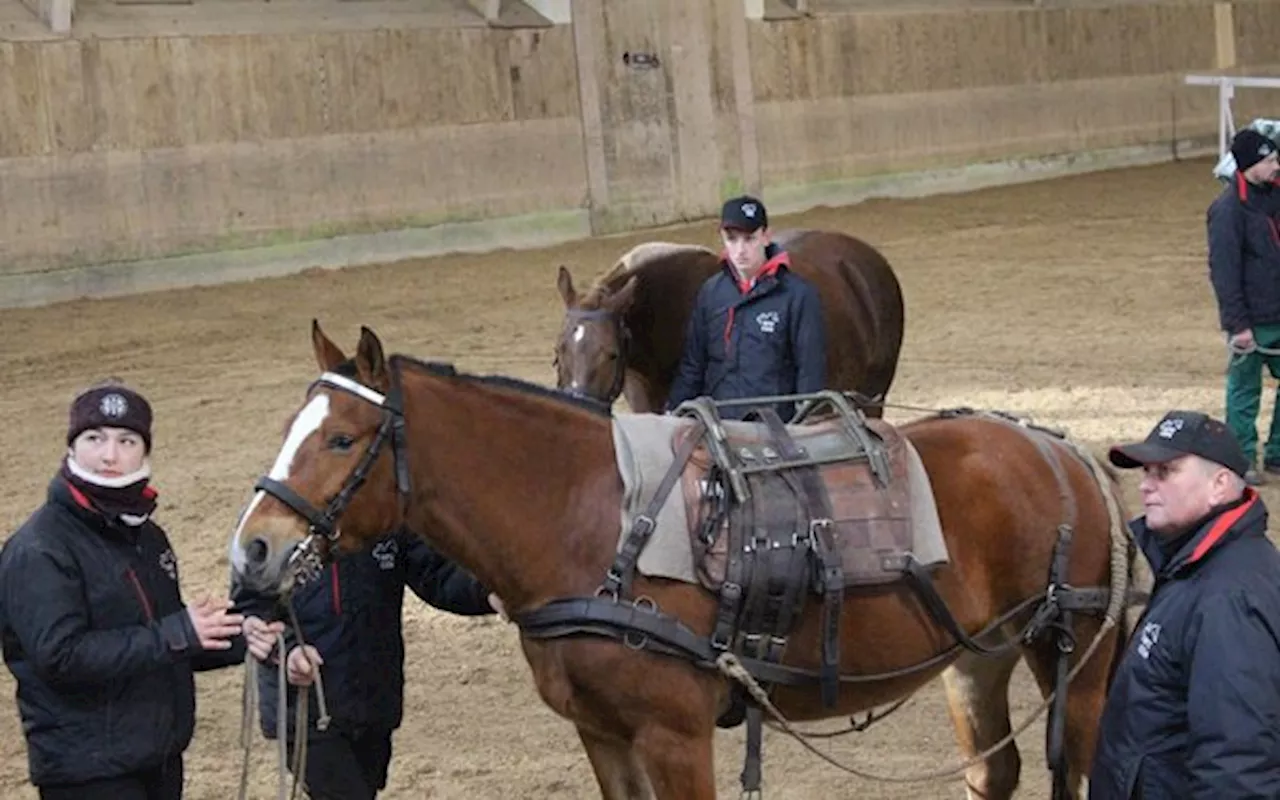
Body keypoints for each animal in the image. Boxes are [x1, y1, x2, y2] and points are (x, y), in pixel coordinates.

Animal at [230, 322, 1131, 798]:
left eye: (343, 439)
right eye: (289, 426)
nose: (254, 548)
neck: (595, 521)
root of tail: (1063, 451)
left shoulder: (675, 733)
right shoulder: (603, 733)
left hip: (1074, 657)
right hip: (979, 658)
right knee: (996, 770)